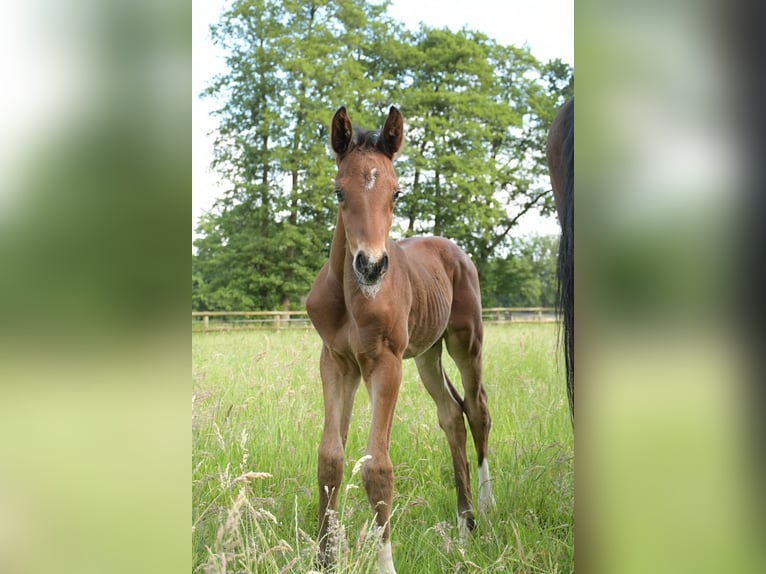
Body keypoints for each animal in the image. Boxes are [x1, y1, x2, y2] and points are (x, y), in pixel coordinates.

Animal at [306, 106, 498, 572]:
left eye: (396, 194)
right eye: (339, 193)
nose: (372, 265)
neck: (351, 297)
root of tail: (452, 247)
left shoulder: (385, 362)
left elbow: (377, 468)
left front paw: (385, 564)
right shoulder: (335, 361)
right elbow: (330, 458)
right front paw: (324, 558)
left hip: (466, 342)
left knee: (478, 409)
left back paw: (485, 509)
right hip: (427, 354)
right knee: (451, 415)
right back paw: (464, 527)